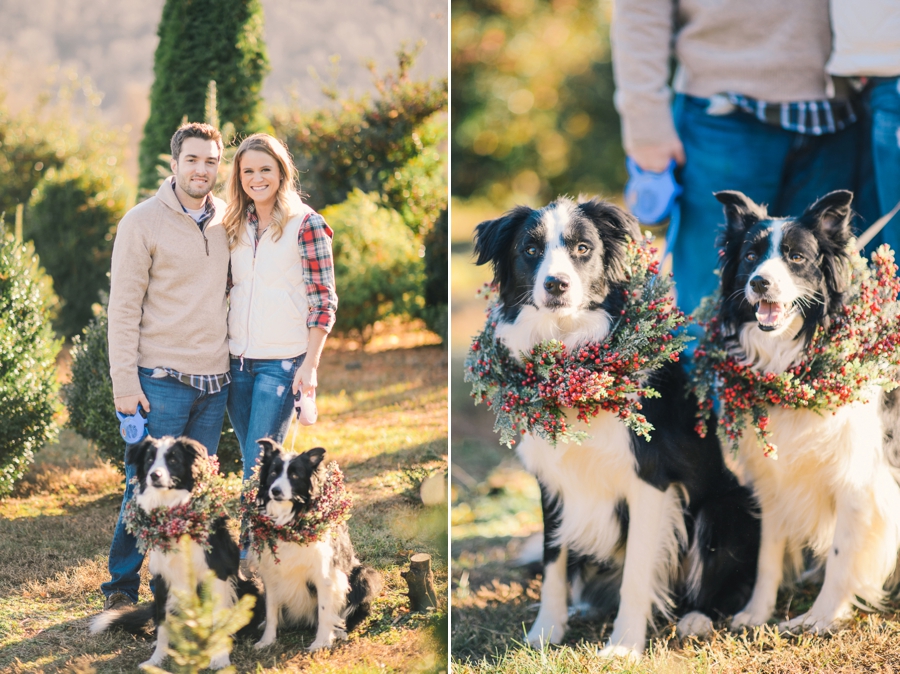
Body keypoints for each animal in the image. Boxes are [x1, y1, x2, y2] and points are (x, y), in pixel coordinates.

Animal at [92, 436, 264, 668]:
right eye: (149, 459)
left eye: (173, 460)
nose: (154, 475)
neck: (175, 516)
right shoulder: (164, 578)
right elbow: (163, 624)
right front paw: (156, 660)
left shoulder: (217, 575)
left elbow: (218, 618)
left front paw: (219, 659)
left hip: (248, 587)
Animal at [250, 438, 384, 648]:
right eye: (273, 473)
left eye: (294, 475)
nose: (275, 491)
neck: (290, 523)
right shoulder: (271, 574)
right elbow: (271, 610)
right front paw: (266, 641)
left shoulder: (325, 574)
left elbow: (324, 611)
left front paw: (321, 643)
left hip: (363, 575)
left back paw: (340, 631)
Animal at [474, 196, 764, 656]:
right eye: (530, 250)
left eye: (582, 249)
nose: (556, 284)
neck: (572, 361)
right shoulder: (553, 480)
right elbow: (553, 562)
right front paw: (545, 631)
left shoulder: (650, 481)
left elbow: (637, 573)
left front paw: (625, 644)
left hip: (726, 509)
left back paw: (696, 618)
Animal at [712, 189, 900, 632]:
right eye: (750, 256)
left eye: (796, 257)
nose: (759, 282)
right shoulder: (775, 480)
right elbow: (768, 555)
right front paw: (756, 612)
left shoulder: (857, 481)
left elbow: (842, 555)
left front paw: (820, 618)